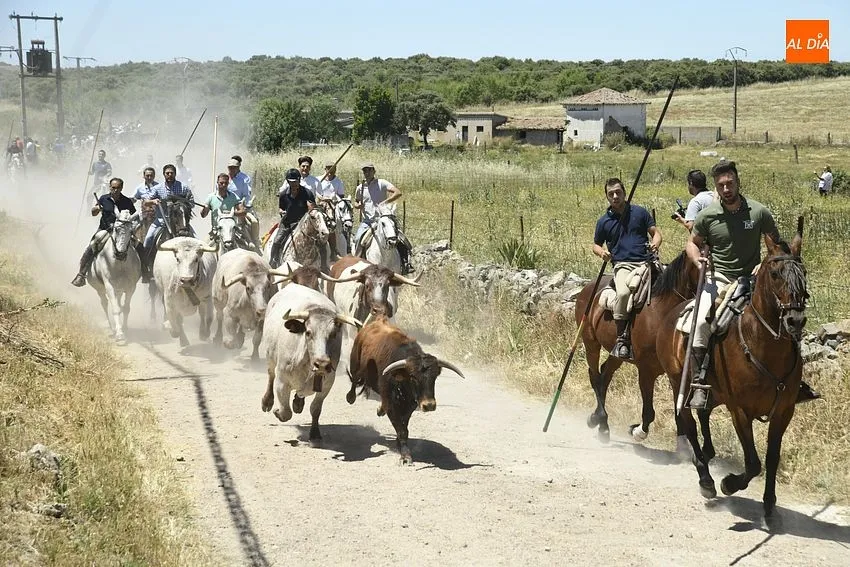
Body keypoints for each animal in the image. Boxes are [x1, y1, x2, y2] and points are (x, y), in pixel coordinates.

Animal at [88, 210, 142, 345]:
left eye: (131, 231)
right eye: (116, 229)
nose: (120, 254)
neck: (120, 264)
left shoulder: (131, 287)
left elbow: (126, 308)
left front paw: (125, 329)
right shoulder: (109, 286)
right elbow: (115, 309)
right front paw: (120, 335)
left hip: (119, 289)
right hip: (100, 289)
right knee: (104, 303)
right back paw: (111, 328)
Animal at [656, 218, 807, 517]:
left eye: (803, 272)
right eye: (775, 274)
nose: (795, 321)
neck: (762, 345)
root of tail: (673, 312)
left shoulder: (785, 411)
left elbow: (772, 458)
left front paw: (770, 505)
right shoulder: (740, 410)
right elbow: (753, 463)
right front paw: (729, 484)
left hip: (712, 392)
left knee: (702, 414)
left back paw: (708, 453)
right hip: (678, 381)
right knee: (690, 424)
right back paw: (706, 479)